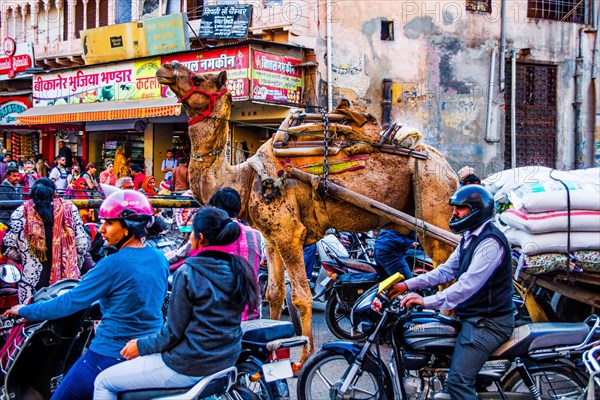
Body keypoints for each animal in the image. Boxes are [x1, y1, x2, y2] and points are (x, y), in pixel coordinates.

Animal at [157, 64, 458, 360]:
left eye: (197, 77)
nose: (166, 68)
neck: (245, 178)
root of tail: (449, 170)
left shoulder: (289, 233)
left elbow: (302, 295)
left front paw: (303, 358)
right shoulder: (270, 237)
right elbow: (274, 292)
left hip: (432, 199)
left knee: (448, 273)